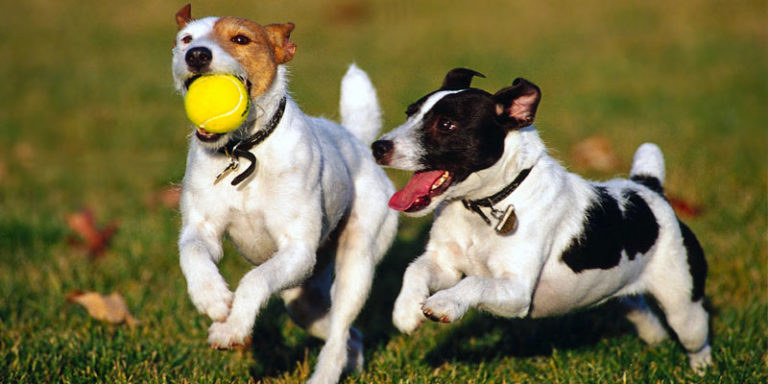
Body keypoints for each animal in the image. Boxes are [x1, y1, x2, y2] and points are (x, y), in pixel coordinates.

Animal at [172, 4, 400, 382]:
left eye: (241, 39)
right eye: (186, 39)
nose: (197, 54)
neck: (245, 150)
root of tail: (355, 140)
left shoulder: (297, 250)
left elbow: (254, 280)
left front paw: (231, 328)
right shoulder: (202, 228)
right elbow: (193, 253)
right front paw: (212, 298)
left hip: (355, 264)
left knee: (340, 330)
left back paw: (325, 375)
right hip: (302, 299)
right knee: (348, 336)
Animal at [372, 68, 712, 372]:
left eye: (446, 124)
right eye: (409, 113)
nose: (378, 147)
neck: (487, 205)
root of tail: (648, 188)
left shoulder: (516, 291)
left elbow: (475, 282)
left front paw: (444, 304)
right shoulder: (446, 265)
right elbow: (415, 270)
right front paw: (405, 311)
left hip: (683, 305)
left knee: (696, 337)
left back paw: (702, 369)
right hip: (618, 288)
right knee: (639, 308)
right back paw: (655, 338)